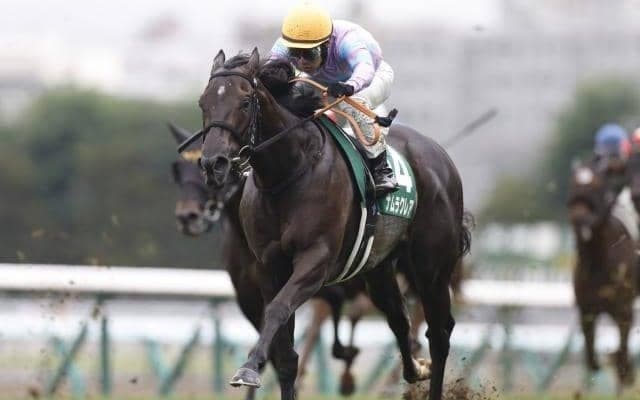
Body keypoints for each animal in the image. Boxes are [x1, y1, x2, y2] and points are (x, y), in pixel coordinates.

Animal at [189, 48, 471, 400]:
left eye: (244, 102)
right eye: (204, 103)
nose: (214, 164)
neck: (287, 173)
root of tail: (441, 157)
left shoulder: (316, 261)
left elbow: (278, 309)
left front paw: (248, 368)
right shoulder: (268, 267)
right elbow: (286, 355)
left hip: (431, 268)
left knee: (439, 333)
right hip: (378, 269)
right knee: (399, 319)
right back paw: (415, 368)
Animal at [567, 158, 638, 391]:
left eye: (596, 185)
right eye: (573, 184)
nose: (579, 217)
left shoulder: (623, 311)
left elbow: (622, 359)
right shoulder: (586, 311)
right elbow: (592, 361)